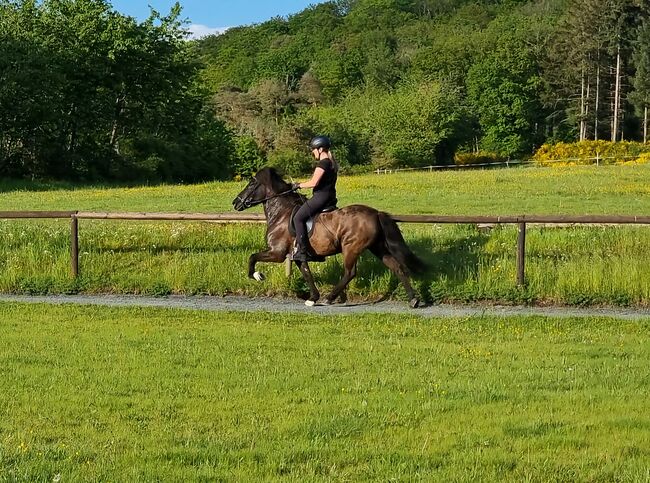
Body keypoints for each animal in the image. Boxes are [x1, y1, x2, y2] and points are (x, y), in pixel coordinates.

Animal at [230, 168, 422, 308]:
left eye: (252, 183)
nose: (235, 202)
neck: (281, 213)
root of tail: (375, 213)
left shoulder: (277, 253)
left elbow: (252, 257)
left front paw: (257, 275)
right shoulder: (297, 256)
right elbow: (307, 274)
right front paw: (312, 298)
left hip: (351, 248)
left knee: (350, 273)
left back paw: (330, 298)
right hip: (378, 247)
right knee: (396, 268)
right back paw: (413, 300)